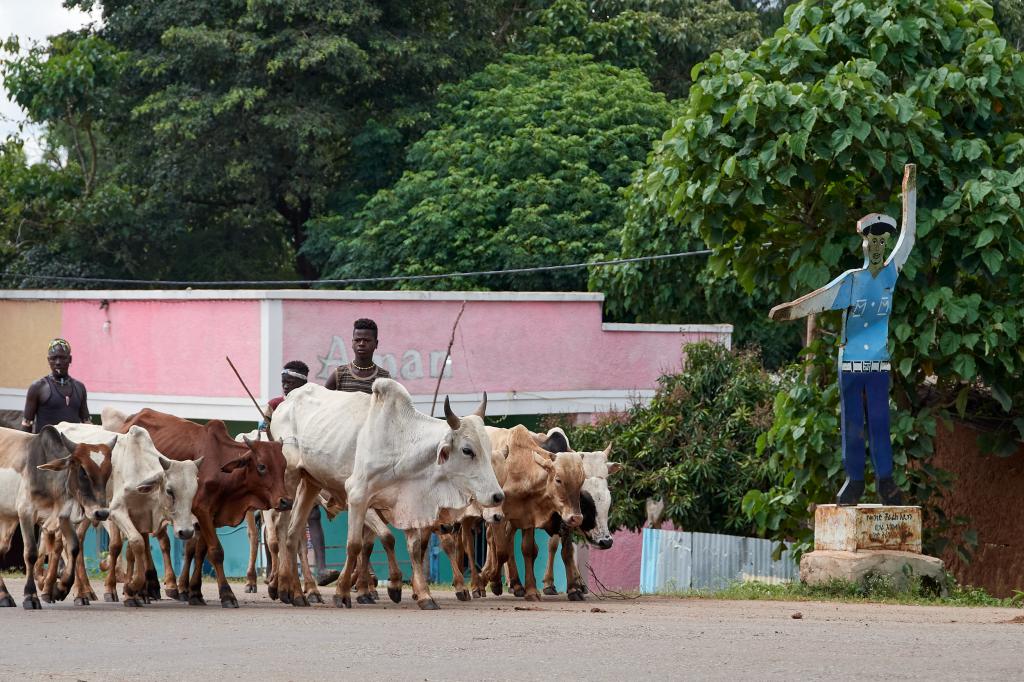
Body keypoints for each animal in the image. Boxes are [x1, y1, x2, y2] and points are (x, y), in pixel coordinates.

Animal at [57, 419, 201, 606]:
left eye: (194, 492)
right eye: (170, 491)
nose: (187, 531)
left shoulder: (138, 516)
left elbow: (132, 551)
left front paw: (132, 593)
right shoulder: (116, 511)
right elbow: (136, 543)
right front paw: (130, 587)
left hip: (89, 513)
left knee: (79, 540)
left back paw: (87, 590)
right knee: (66, 542)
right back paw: (78, 593)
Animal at [112, 409, 292, 606]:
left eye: (283, 466)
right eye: (261, 466)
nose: (286, 501)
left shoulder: (211, 516)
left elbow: (199, 552)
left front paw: (195, 592)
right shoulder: (202, 511)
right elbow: (216, 552)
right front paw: (227, 594)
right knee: (143, 542)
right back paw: (144, 590)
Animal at [337, 378, 501, 606]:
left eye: (488, 447)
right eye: (467, 450)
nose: (498, 497)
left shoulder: (416, 510)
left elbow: (419, 547)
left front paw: (422, 592)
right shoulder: (359, 496)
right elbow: (358, 544)